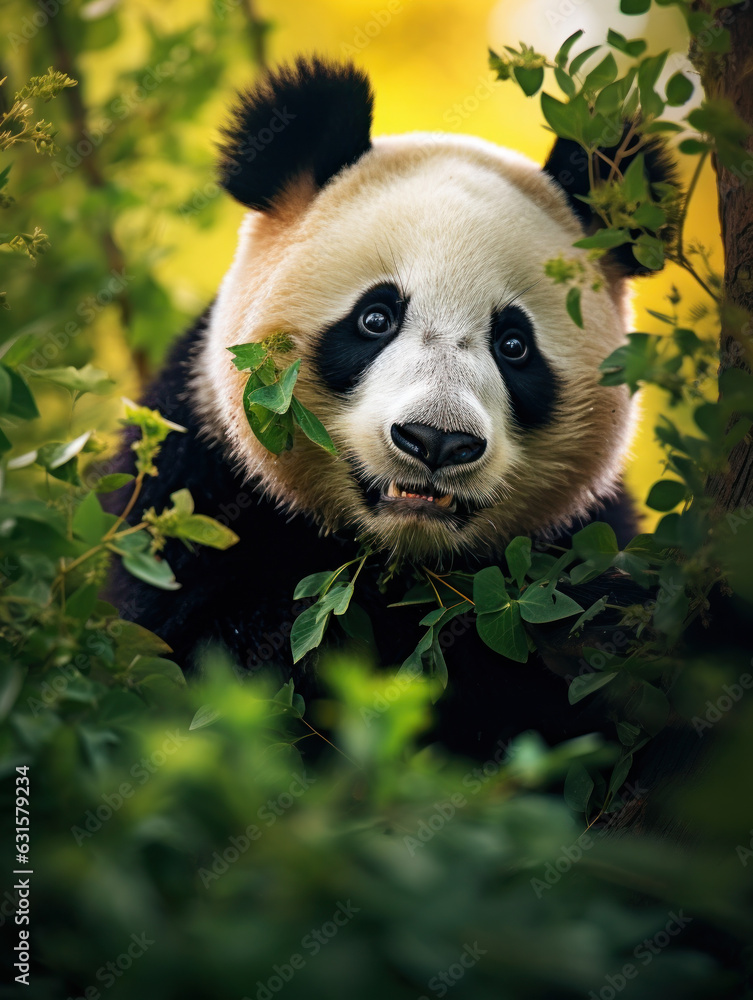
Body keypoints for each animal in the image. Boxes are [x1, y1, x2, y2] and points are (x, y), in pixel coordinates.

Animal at [111, 57, 675, 757]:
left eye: (514, 345)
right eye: (375, 318)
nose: (436, 441)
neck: (405, 564)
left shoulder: (586, 528)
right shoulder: (194, 485)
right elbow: (201, 653)